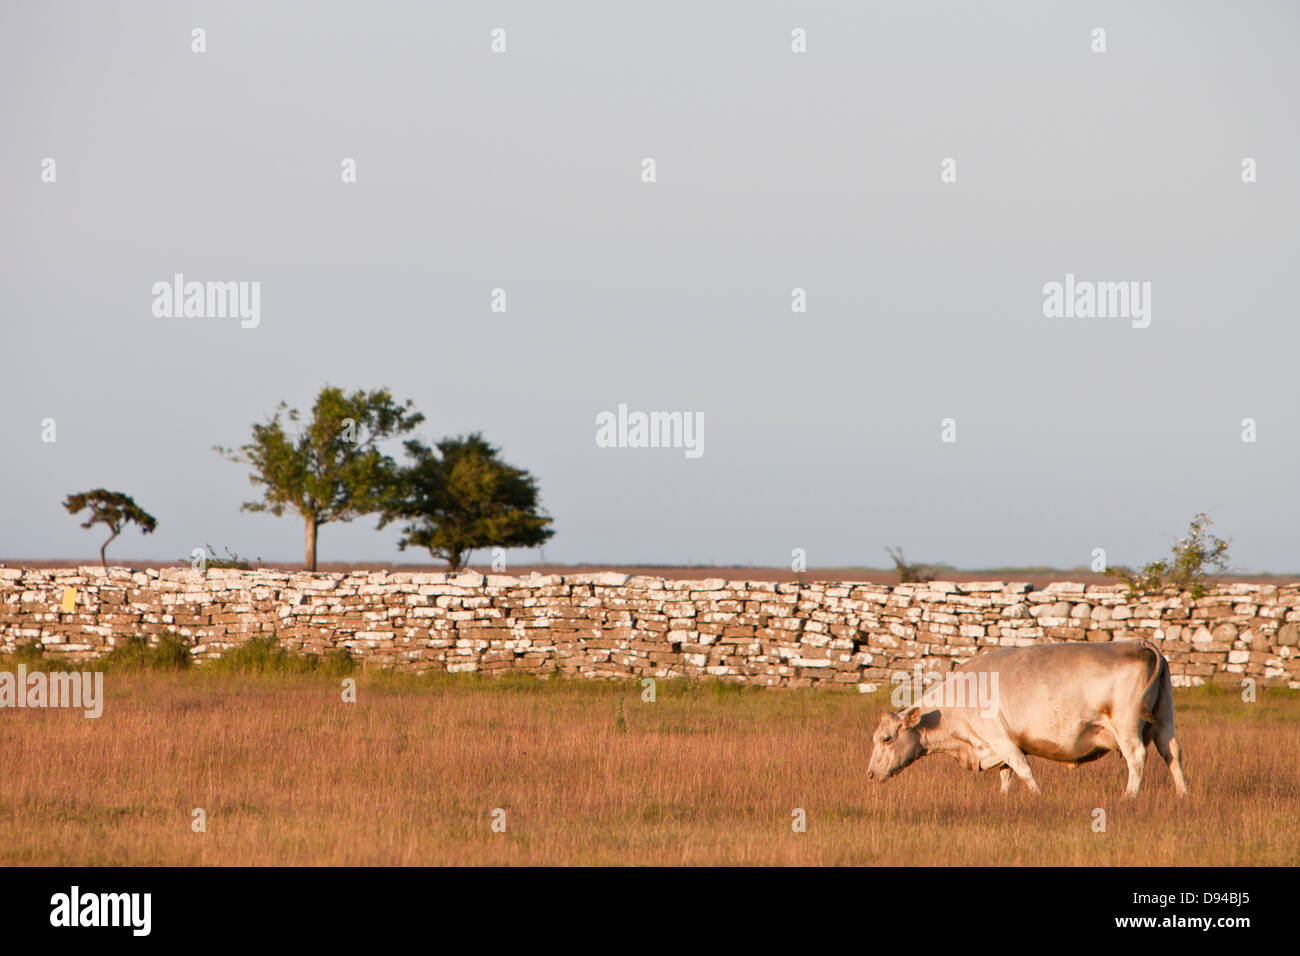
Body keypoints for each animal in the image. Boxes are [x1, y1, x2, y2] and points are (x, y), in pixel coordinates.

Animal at [865, 640, 1188, 798]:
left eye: (887, 739)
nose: (869, 774)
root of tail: (1140, 643)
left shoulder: (1001, 739)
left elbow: (1023, 770)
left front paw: (1038, 798)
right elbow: (1006, 774)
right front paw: (1005, 798)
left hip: (1126, 727)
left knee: (1137, 758)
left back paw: (1129, 797)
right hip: (1164, 721)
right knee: (1171, 752)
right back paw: (1183, 795)